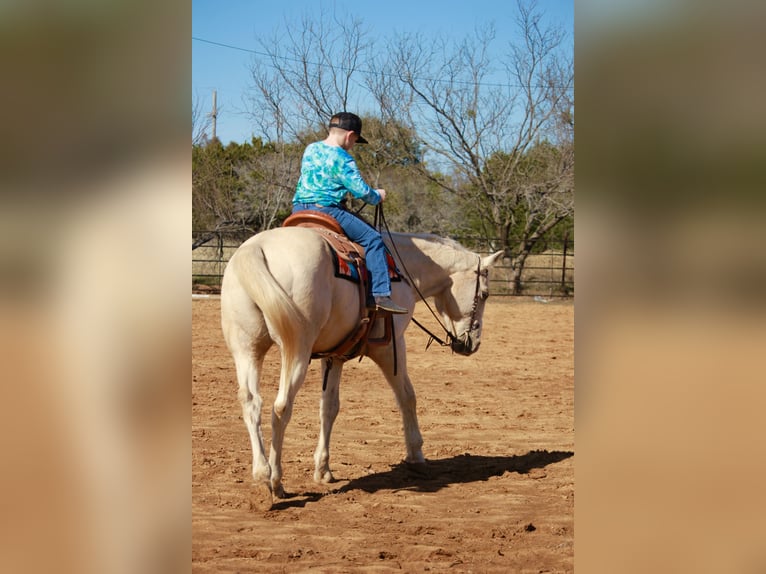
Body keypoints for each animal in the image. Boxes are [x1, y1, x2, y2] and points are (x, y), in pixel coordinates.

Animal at [220, 226, 504, 508]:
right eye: (485, 294)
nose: (472, 344)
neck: (403, 268)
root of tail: (256, 248)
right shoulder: (391, 347)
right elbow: (407, 397)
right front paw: (416, 454)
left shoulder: (333, 356)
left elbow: (329, 408)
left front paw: (323, 469)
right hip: (297, 349)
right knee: (281, 407)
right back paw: (274, 481)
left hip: (247, 350)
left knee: (251, 402)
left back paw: (261, 474)